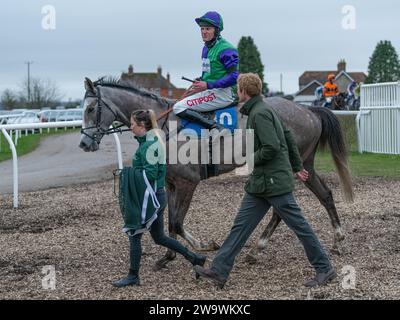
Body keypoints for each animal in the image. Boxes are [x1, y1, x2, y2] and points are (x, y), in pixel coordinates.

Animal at [79, 77, 354, 268]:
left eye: (91, 108)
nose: (83, 143)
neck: (164, 128)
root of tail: (308, 111)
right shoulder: (171, 184)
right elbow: (171, 222)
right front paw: (168, 255)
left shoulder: (188, 182)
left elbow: (177, 222)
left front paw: (204, 246)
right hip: (304, 165)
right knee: (323, 195)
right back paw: (336, 240)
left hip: (292, 166)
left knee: (284, 208)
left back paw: (259, 248)